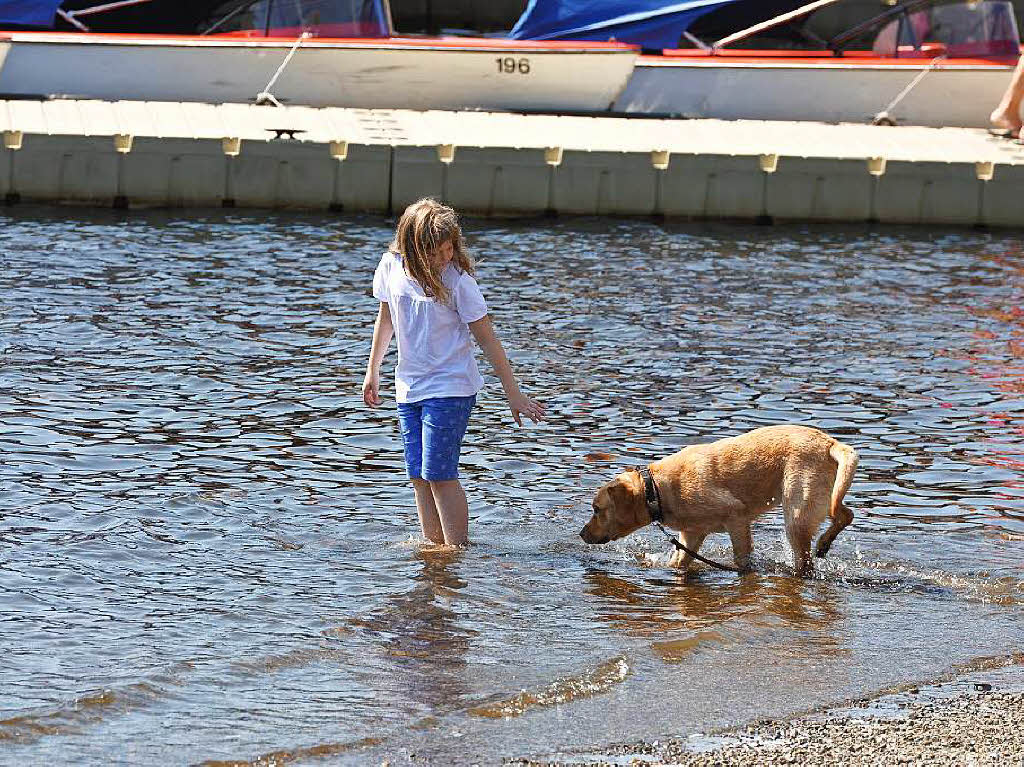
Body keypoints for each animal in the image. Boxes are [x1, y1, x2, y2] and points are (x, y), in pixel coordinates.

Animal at [581, 423, 860, 573]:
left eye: (596, 509)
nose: (581, 534)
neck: (656, 490)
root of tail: (830, 443)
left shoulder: (736, 517)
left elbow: (742, 560)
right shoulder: (691, 534)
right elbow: (678, 562)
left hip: (797, 513)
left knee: (806, 561)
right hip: (822, 499)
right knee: (846, 514)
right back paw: (824, 543)